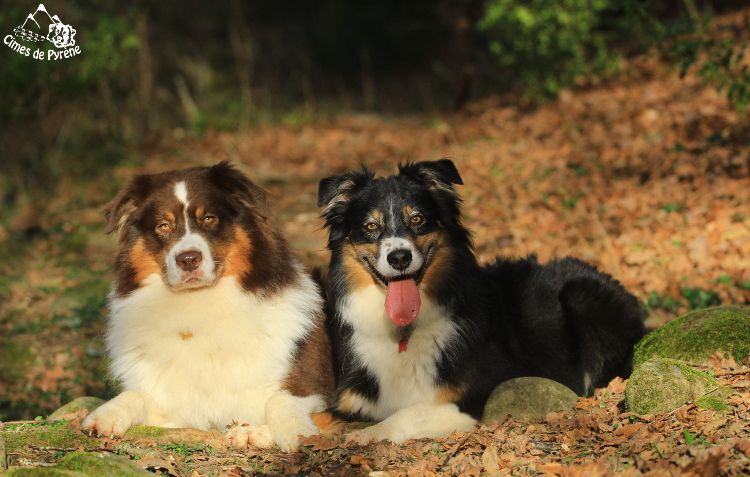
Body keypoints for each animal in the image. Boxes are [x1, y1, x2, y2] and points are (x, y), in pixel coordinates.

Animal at [80, 163, 334, 450]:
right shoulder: (169, 406)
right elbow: (135, 395)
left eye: (209, 219)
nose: (188, 259)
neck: (199, 302)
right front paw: (105, 415)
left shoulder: (316, 389)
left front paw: (294, 431)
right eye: (163, 225)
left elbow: (281, 400)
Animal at [318, 160, 648, 442]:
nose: (399, 257)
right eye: (370, 226)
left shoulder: (473, 394)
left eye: (417, 219)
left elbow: (408, 413)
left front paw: (366, 435)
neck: (403, 332)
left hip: (583, 296)